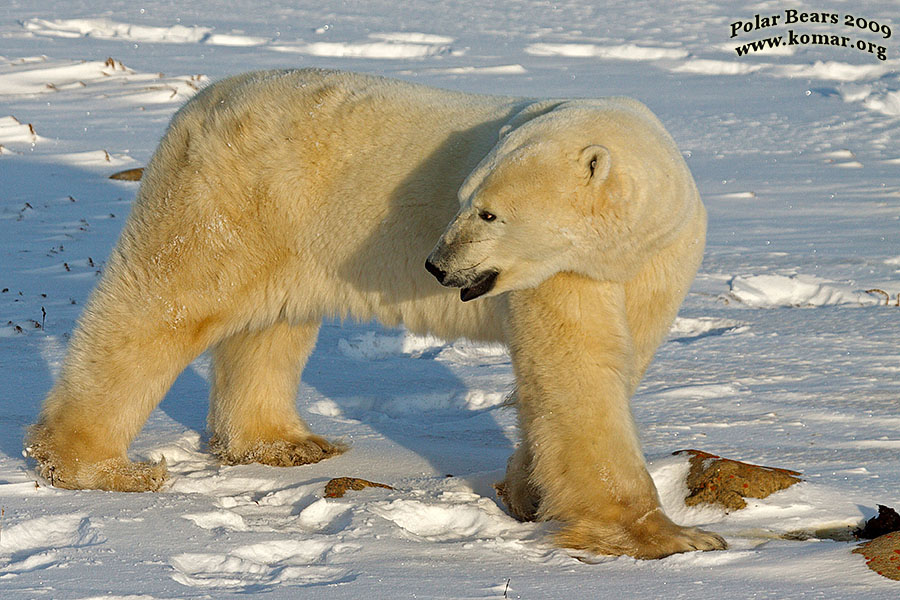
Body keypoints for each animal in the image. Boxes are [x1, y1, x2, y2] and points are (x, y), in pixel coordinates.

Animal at [26, 69, 724, 556]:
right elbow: (578, 372)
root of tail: (199, 103)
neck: (631, 236)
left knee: (270, 326)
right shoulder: (559, 273)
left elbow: (609, 364)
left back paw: (286, 444)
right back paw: (101, 466)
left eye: (488, 212)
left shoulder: (655, 263)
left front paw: (526, 492)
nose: (437, 266)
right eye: (465, 198)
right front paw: (670, 538)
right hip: (225, 197)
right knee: (165, 305)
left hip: (285, 227)